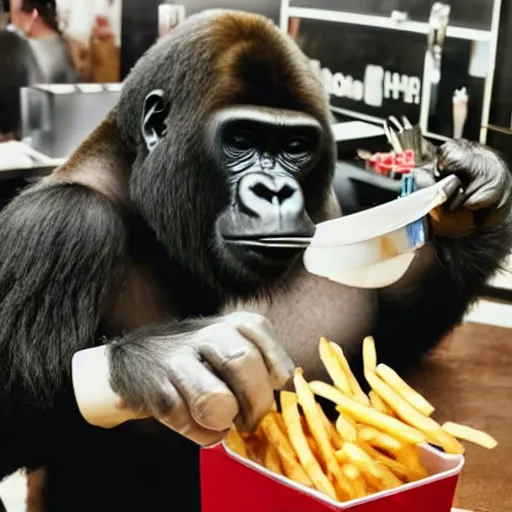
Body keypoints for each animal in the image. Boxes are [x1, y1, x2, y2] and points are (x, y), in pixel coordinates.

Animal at [0, 8, 510, 512]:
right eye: (241, 139)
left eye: (295, 147)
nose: (275, 191)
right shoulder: (59, 224)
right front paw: (158, 358)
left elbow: (392, 345)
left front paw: (470, 196)